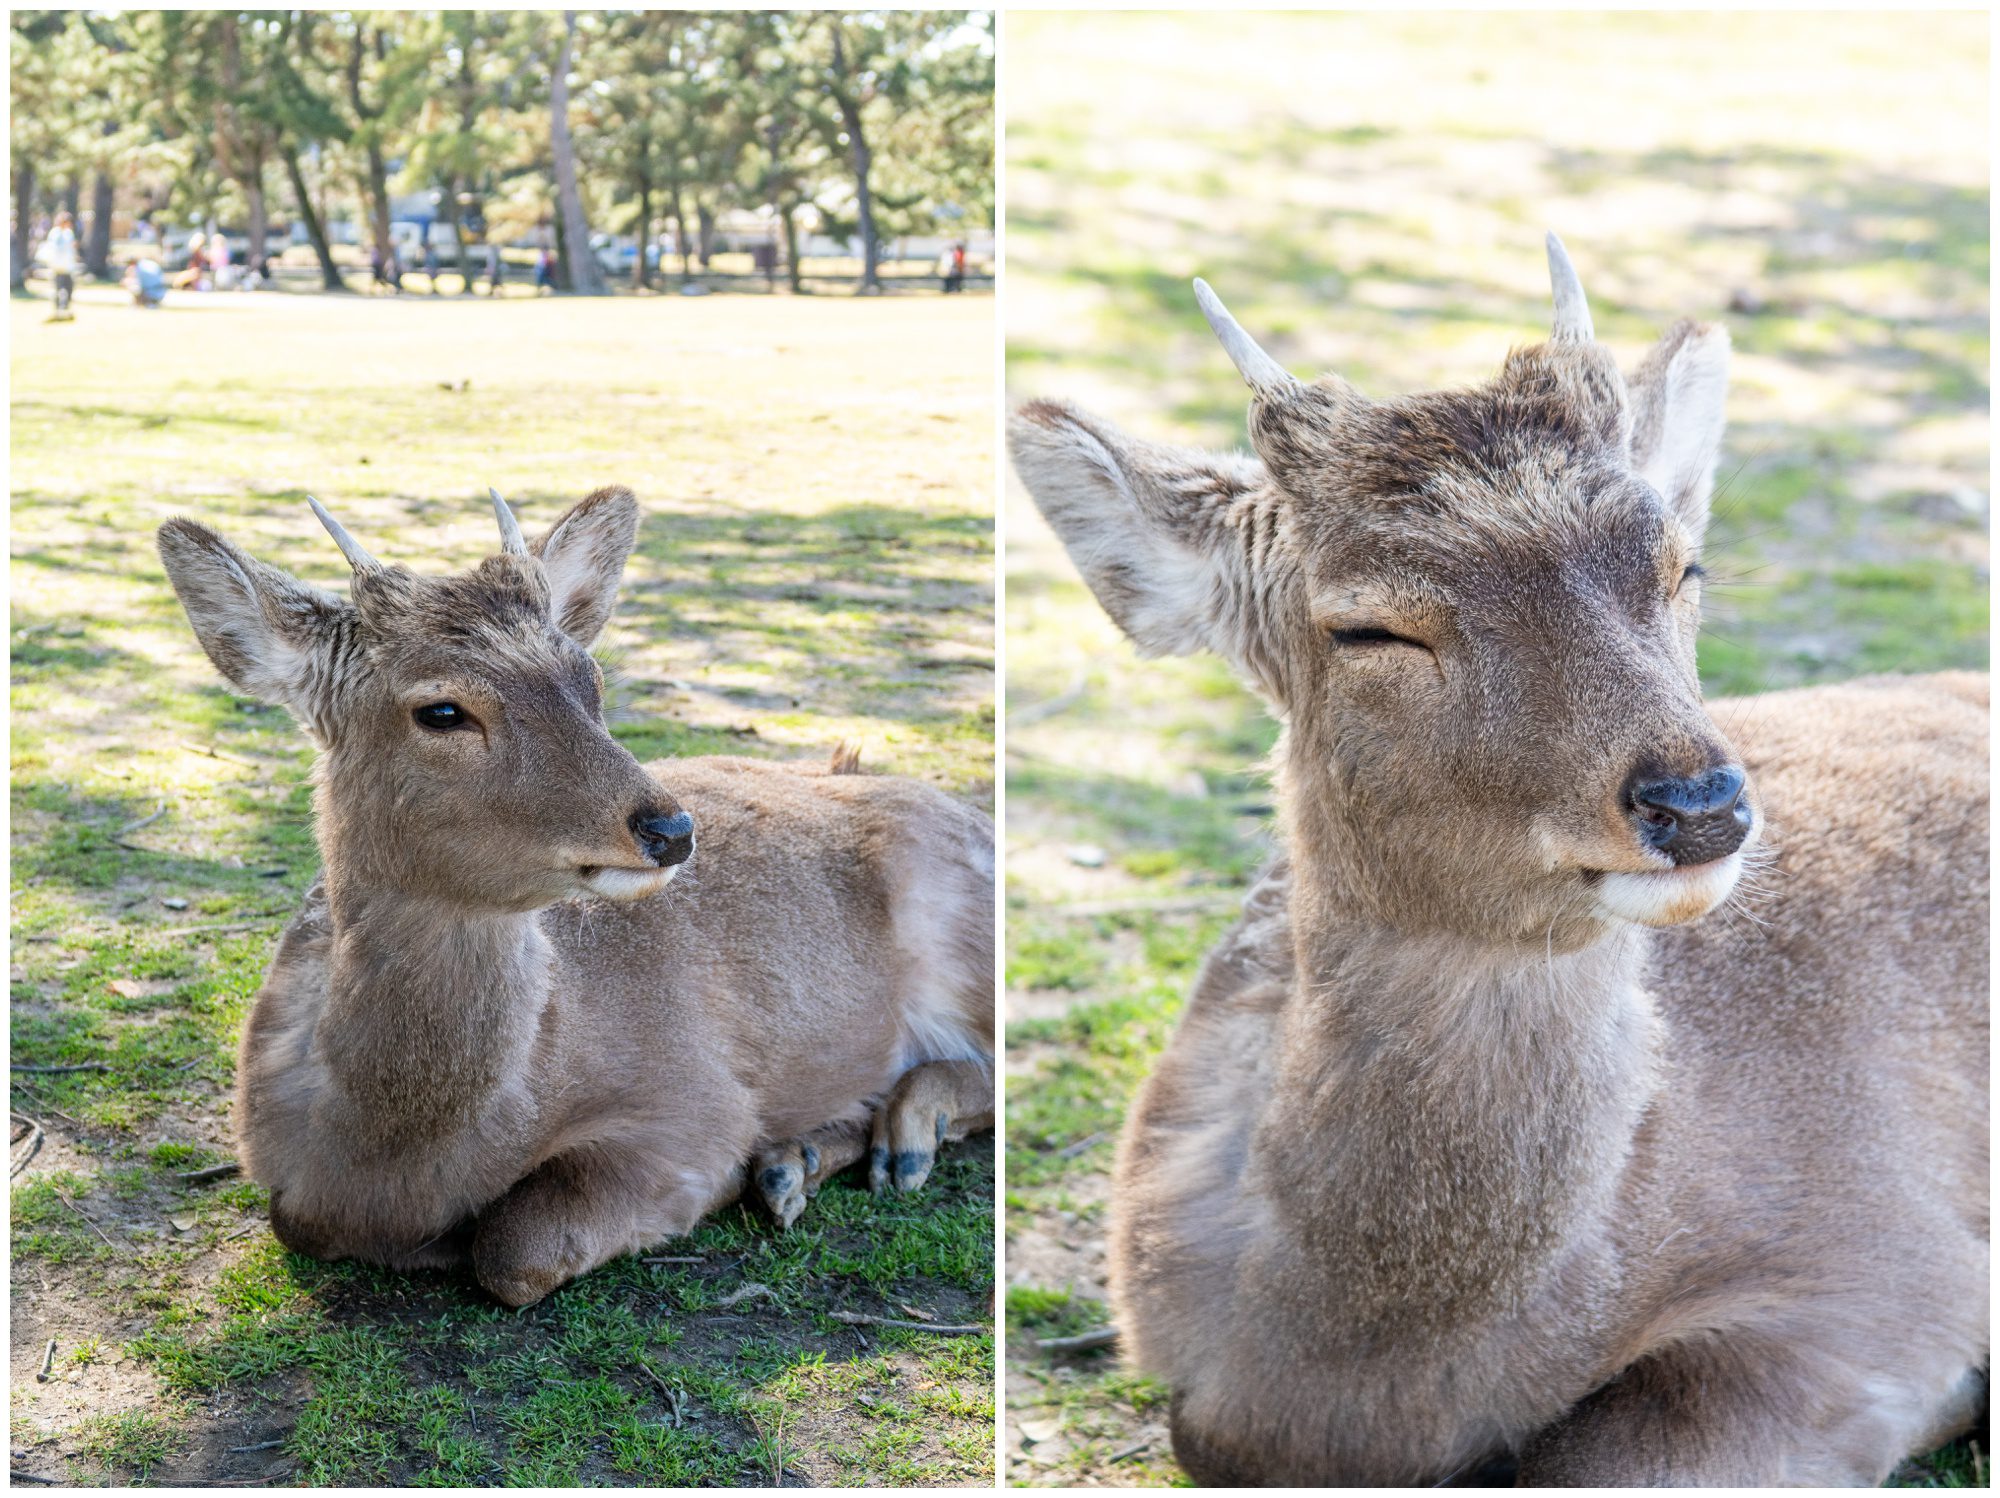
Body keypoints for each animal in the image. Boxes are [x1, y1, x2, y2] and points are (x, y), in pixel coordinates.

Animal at [152, 486, 996, 1304]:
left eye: (591, 680)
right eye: (442, 710)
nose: (670, 828)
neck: (393, 1164)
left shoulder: (697, 1104)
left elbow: (514, 1246)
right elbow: (294, 1220)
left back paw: (898, 1142)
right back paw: (799, 1161)